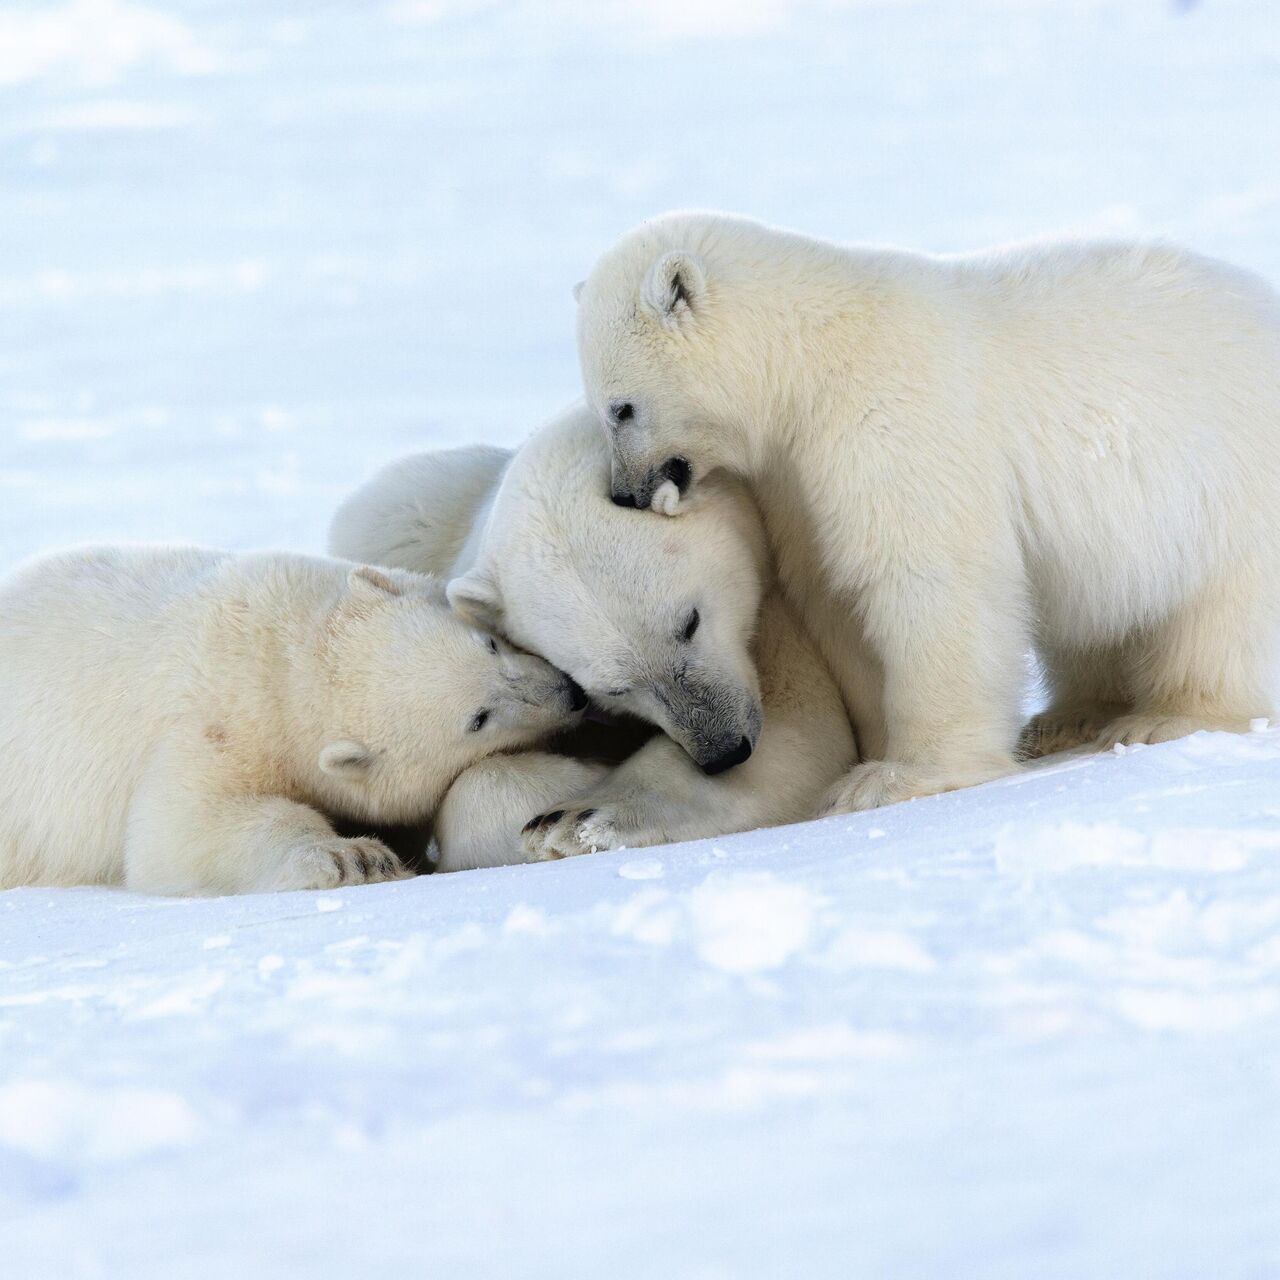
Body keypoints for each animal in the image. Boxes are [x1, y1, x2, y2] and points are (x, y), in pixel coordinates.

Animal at [0, 545, 586, 896]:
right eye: (477, 719)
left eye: (490, 645)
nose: (570, 694)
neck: (286, 657)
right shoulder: (215, 726)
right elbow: (177, 831)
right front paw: (356, 858)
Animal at [576, 209, 1280, 808]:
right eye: (603, 407)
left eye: (621, 408)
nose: (624, 494)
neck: (813, 355)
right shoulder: (796, 481)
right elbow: (835, 602)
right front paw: (874, 751)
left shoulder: (892, 418)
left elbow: (927, 578)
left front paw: (897, 777)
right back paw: (1068, 718)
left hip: (1232, 479)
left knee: (1222, 614)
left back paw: (1168, 717)